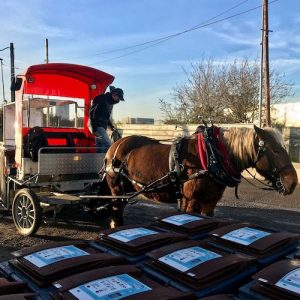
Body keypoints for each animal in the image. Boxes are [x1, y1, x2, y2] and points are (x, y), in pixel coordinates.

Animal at [103, 125, 298, 227]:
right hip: (116, 189)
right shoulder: (191, 202)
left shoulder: (210, 204)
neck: (213, 155)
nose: (293, 182)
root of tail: (115, 145)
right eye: (275, 150)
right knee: (116, 209)